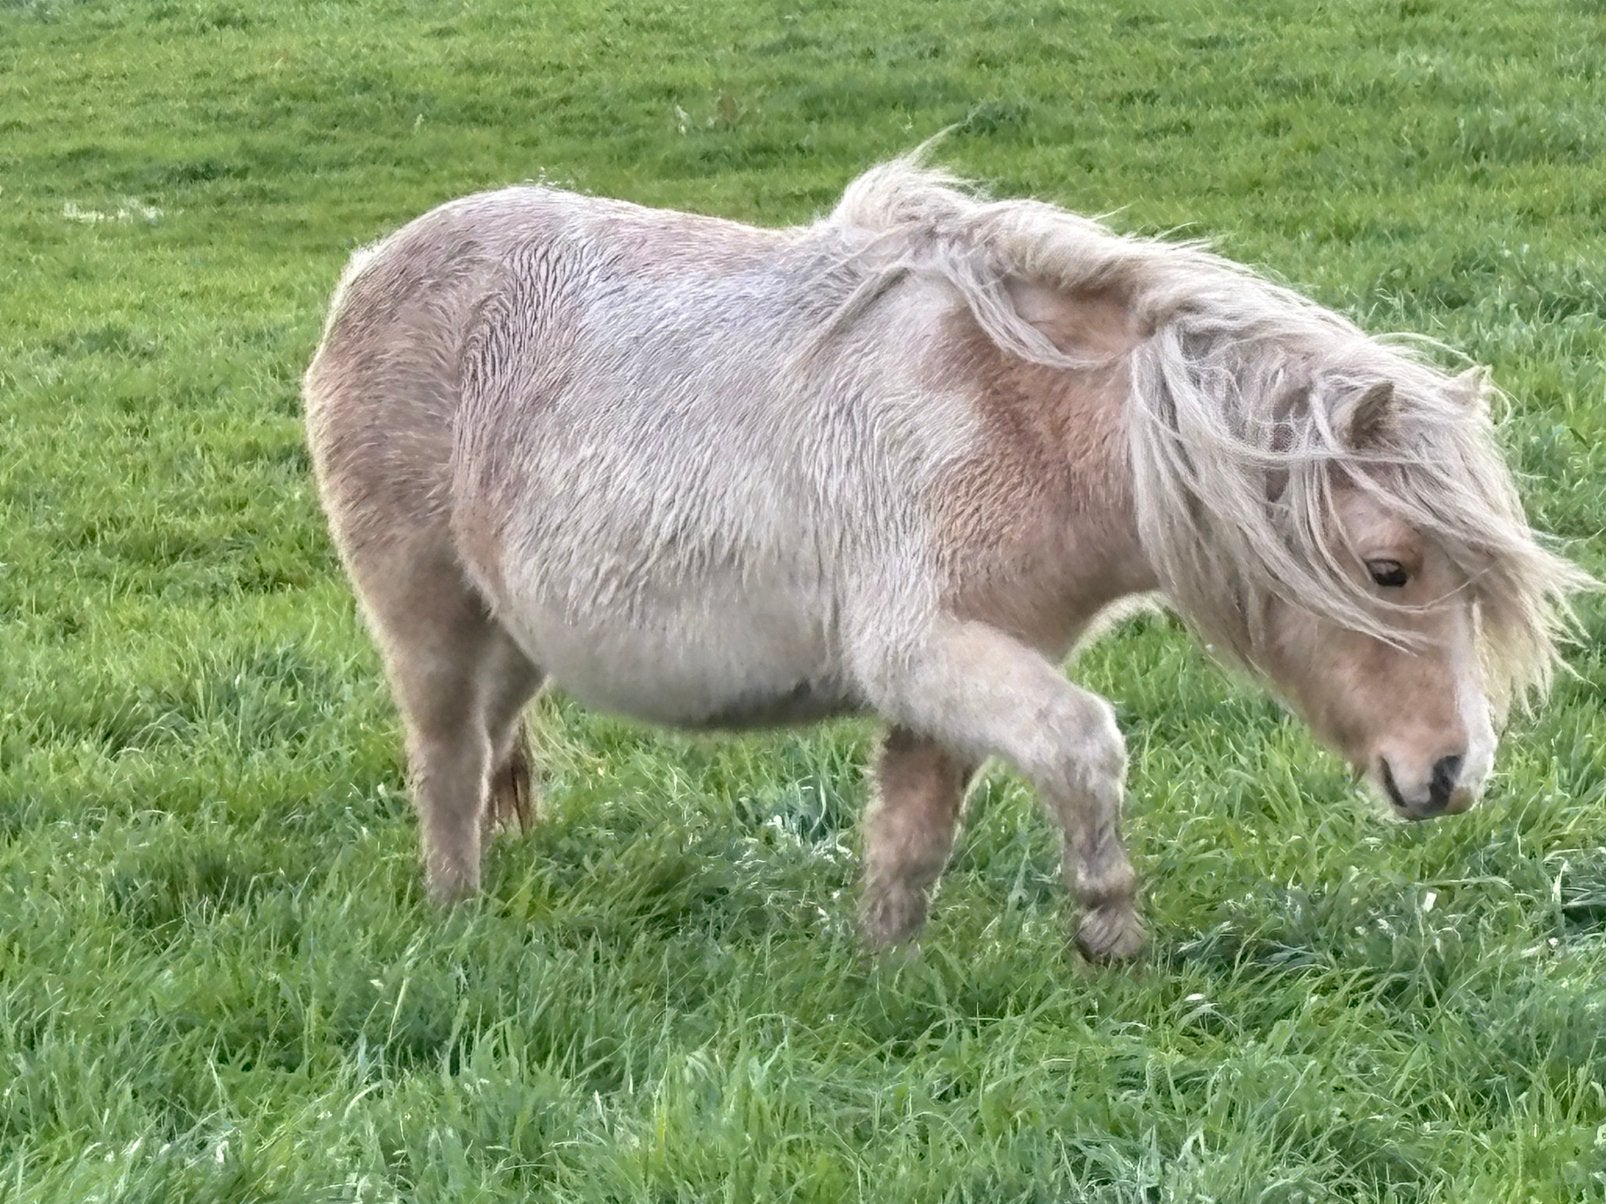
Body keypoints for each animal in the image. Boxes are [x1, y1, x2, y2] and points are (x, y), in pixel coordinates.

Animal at [302, 155, 1590, 962]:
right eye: (1388, 570)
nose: (1450, 772)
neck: (1017, 412)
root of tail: (368, 268)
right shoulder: (930, 651)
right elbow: (1086, 747)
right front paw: (1109, 931)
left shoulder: (955, 678)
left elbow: (910, 841)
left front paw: (883, 972)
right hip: (430, 627)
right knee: (446, 767)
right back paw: (459, 922)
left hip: (514, 639)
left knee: (485, 751)